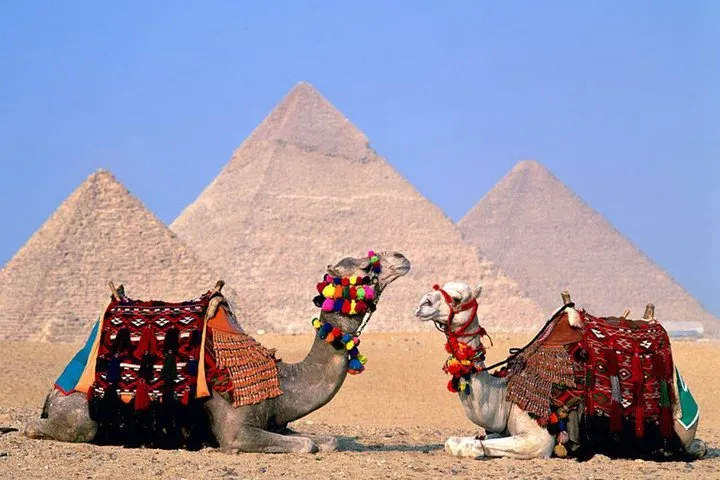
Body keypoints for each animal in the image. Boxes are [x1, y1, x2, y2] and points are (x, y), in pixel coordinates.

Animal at [25, 250, 410, 453]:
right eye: (367, 268)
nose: (402, 258)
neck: (285, 382)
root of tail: (52, 392)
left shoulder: (279, 423)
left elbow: (325, 440)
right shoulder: (236, 431)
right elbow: (307, 446)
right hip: (80, 415)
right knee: (53, 427)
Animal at [414, 282, 706, 460]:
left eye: (456, 297)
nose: (422, 303)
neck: (502, 396)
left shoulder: (538, 439)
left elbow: (470, 445)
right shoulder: (502, 428)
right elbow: (456, 441)